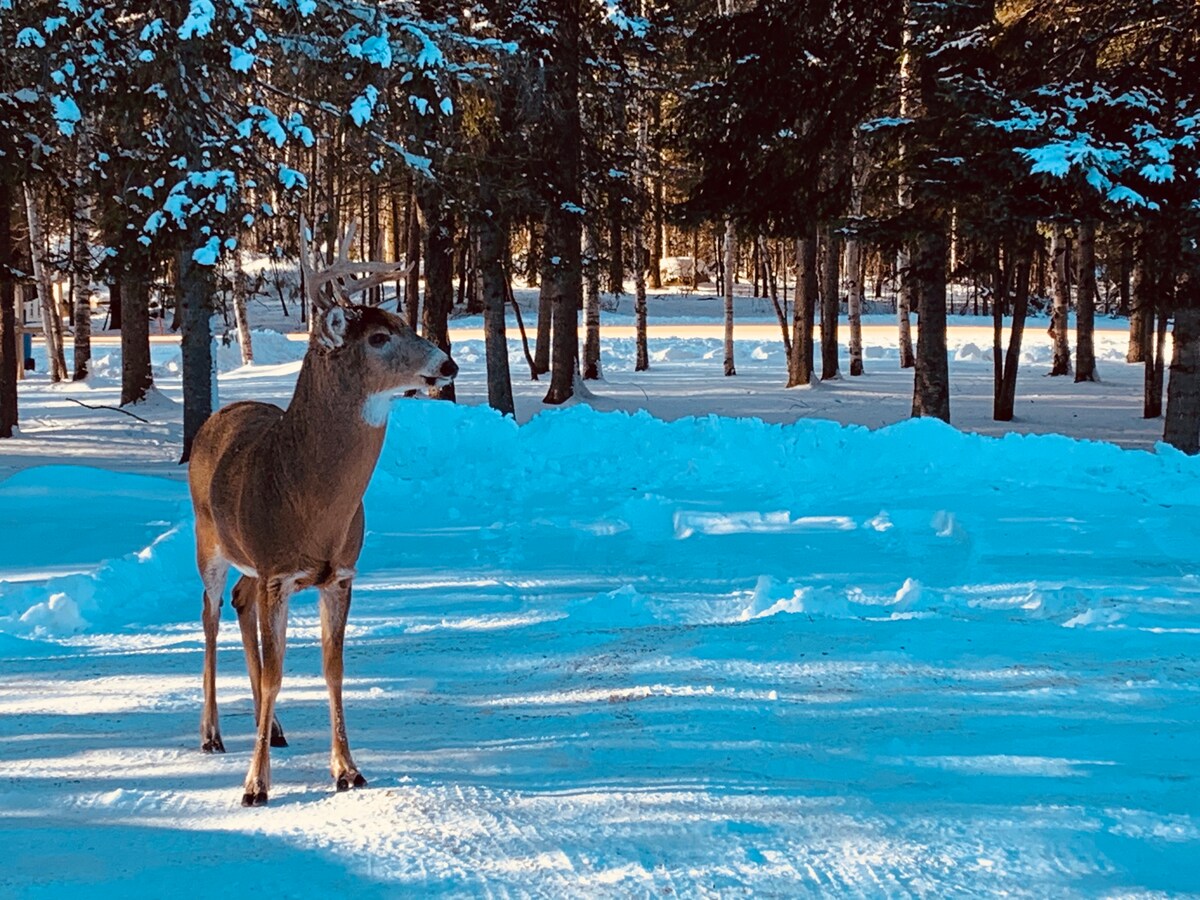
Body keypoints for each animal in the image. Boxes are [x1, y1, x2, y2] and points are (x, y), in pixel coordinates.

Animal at [189, 220, 456, 811]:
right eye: (378, 337)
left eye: (406, 323)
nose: (447, 365)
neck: (311, 501)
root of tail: (218, 415)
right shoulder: (277, 573)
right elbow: (276, 673)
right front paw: (255, 786)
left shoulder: (340, 575)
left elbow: (332, 670)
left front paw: (348, 770)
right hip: (209, 539)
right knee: (210, 612)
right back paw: (212, 735)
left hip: (251, 565)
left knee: (238, 604)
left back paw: (274, 729)